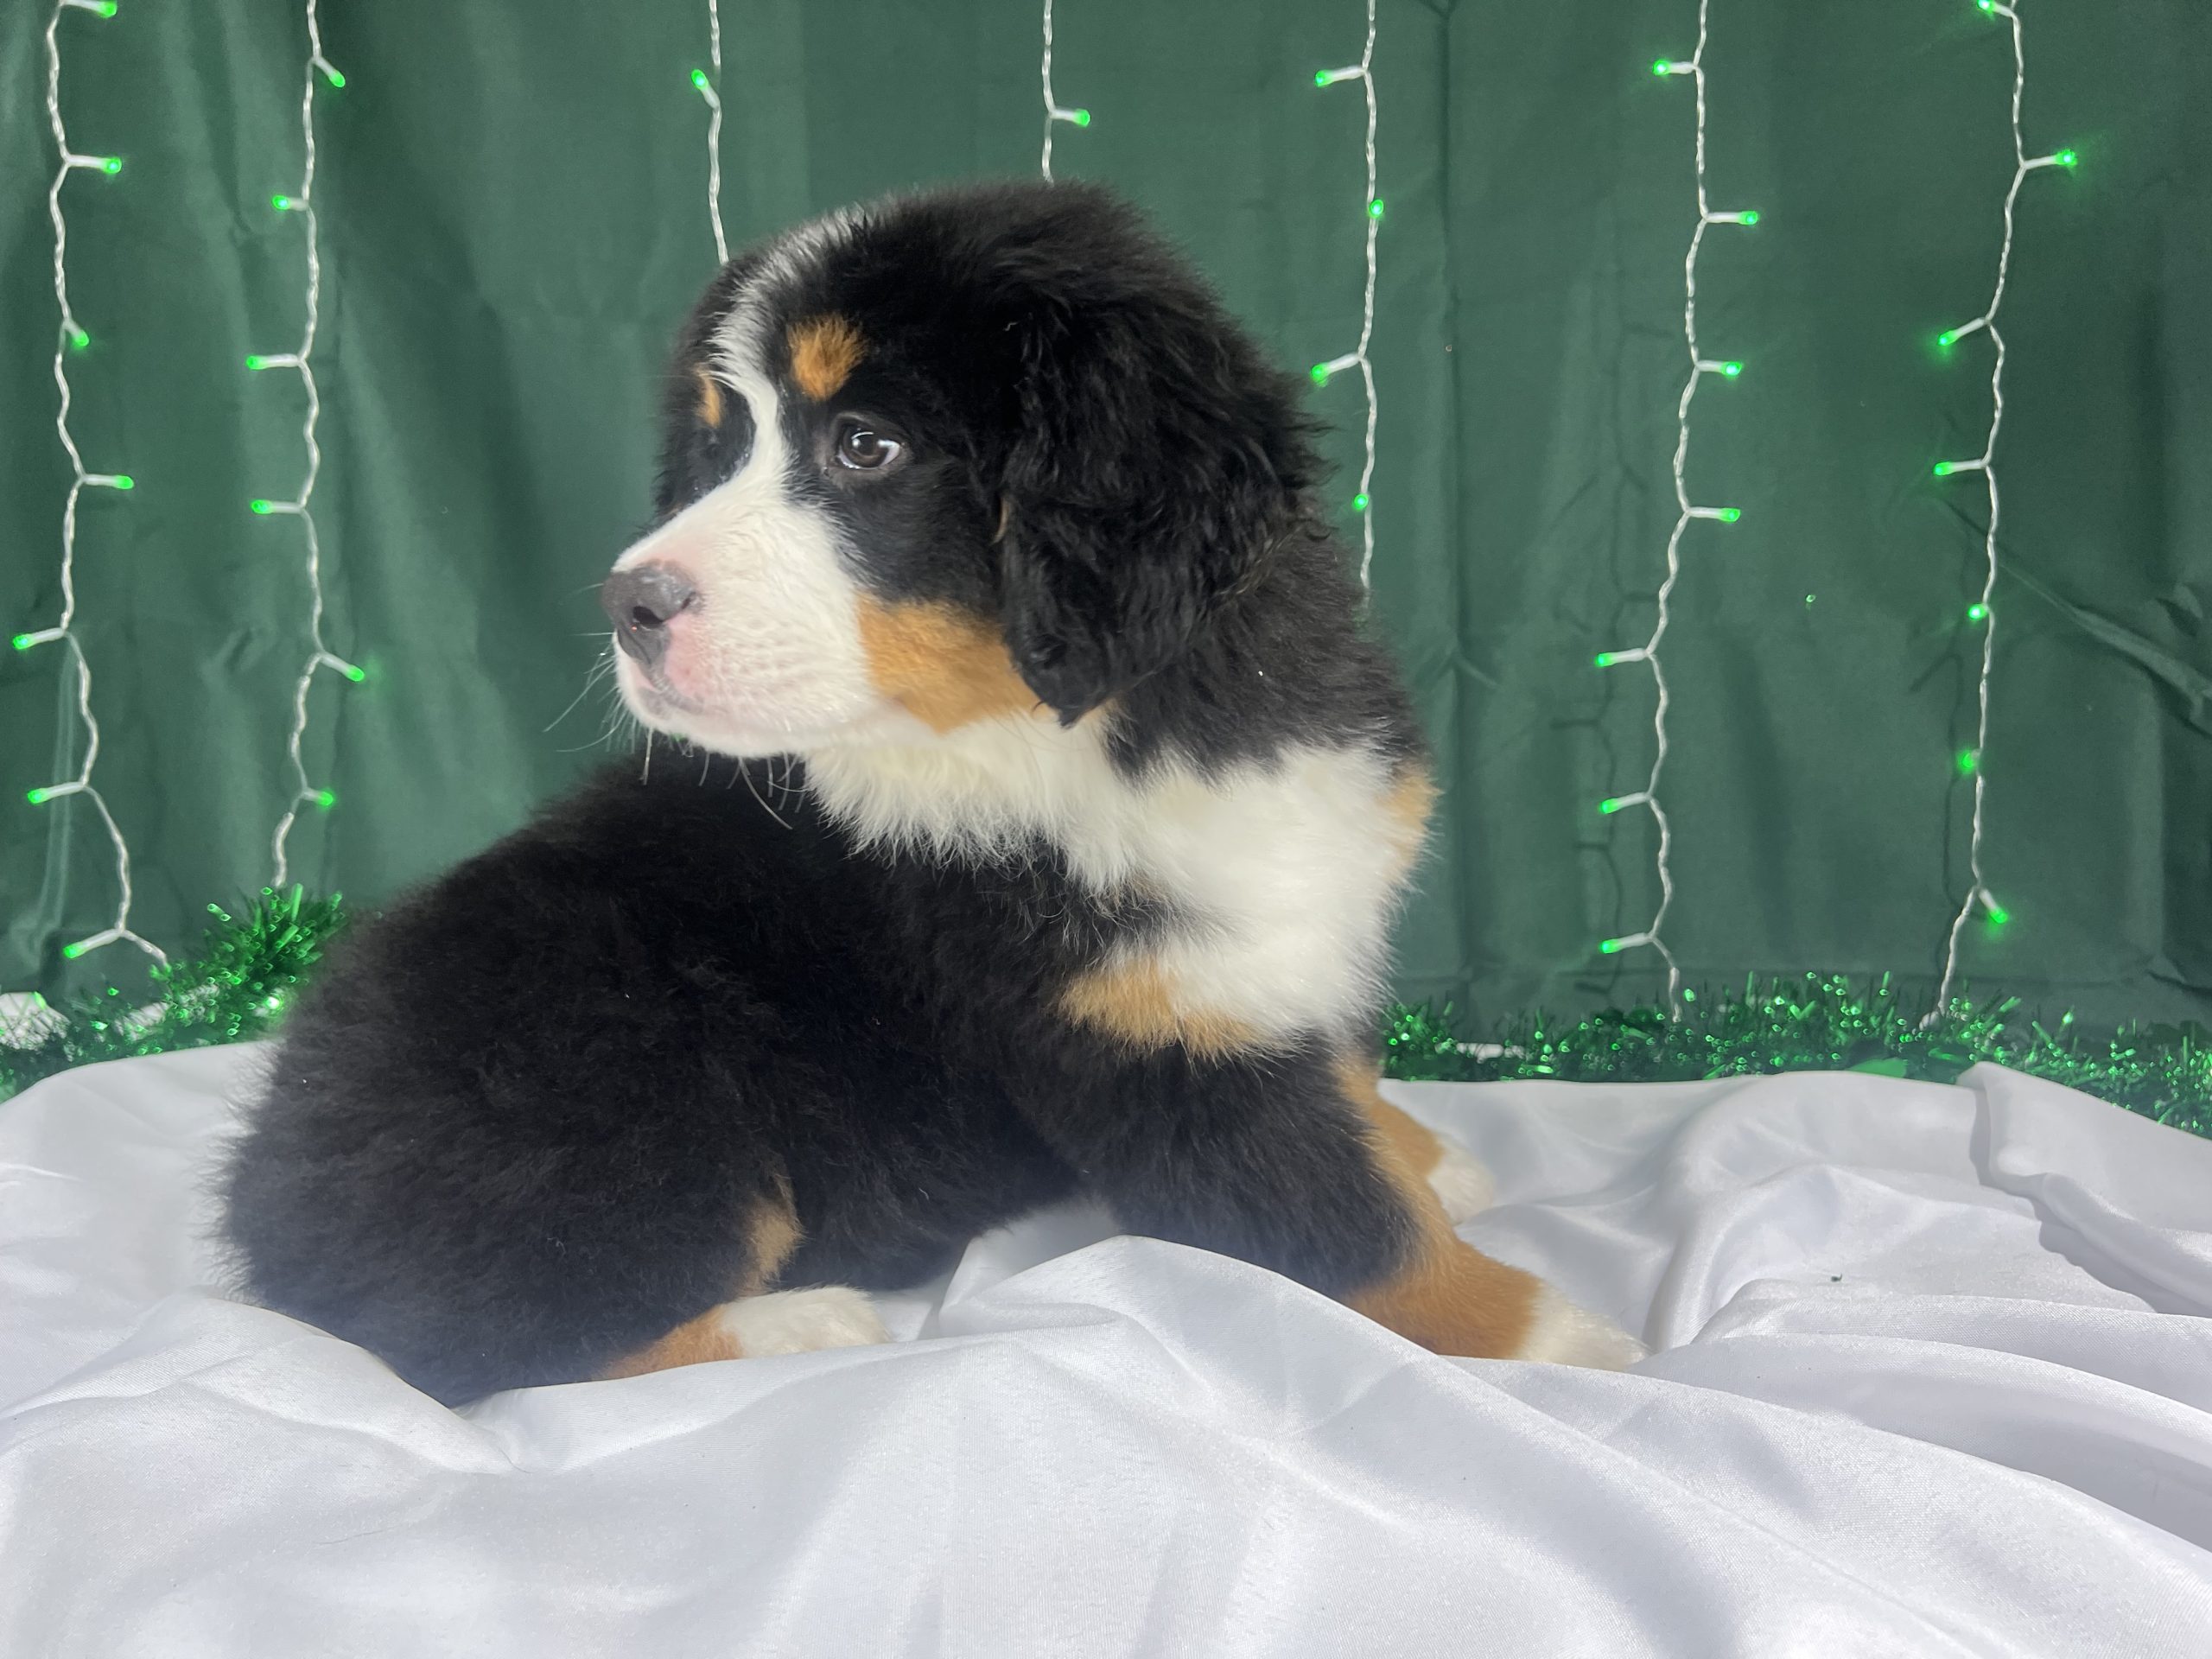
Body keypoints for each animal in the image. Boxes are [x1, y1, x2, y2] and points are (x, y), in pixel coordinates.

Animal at [221, 181, 1643, 1404]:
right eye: (720, 450)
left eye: (866, 445)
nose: (628, 604)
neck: (1112, 730)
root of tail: (258, 1209)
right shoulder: (1135, 1048)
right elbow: (1347, 1230)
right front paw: (1563, 1343)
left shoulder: (1261, 950)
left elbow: (1338, 1081)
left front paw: (1419, 1151)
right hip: (617, 1086)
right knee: (480, 1336)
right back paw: (798, 1324)